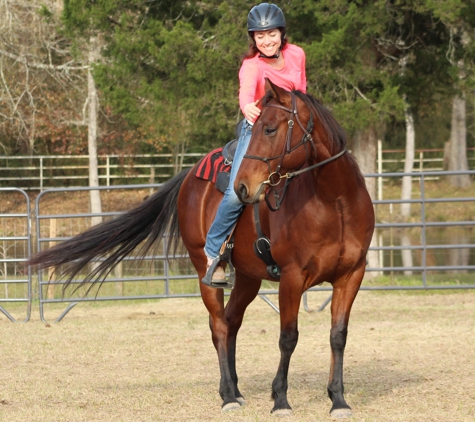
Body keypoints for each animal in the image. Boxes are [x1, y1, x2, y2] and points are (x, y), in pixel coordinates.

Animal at [28, 80, 376, 418]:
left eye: (270, 129)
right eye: (257, 127)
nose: (242, 187)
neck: (334, 201)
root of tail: (189, 176)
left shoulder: (351, 276)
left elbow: (338, 336)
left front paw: (338, 399)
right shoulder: (292, 278)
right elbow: (288, 338)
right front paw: (280, 400)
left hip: (248, 278)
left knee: (231, 321)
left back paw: (233, 389)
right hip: (204, 271)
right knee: (218, 325)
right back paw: (228, 397)